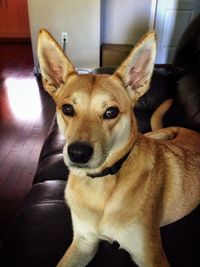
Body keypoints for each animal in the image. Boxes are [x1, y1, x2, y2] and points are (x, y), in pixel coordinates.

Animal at [37, 29, 200, 267]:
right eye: (67, 109)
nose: (78, 153)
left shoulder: (151, 256)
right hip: (153, 135)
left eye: (111, 112)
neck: (100, 183)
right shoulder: (83, 243)